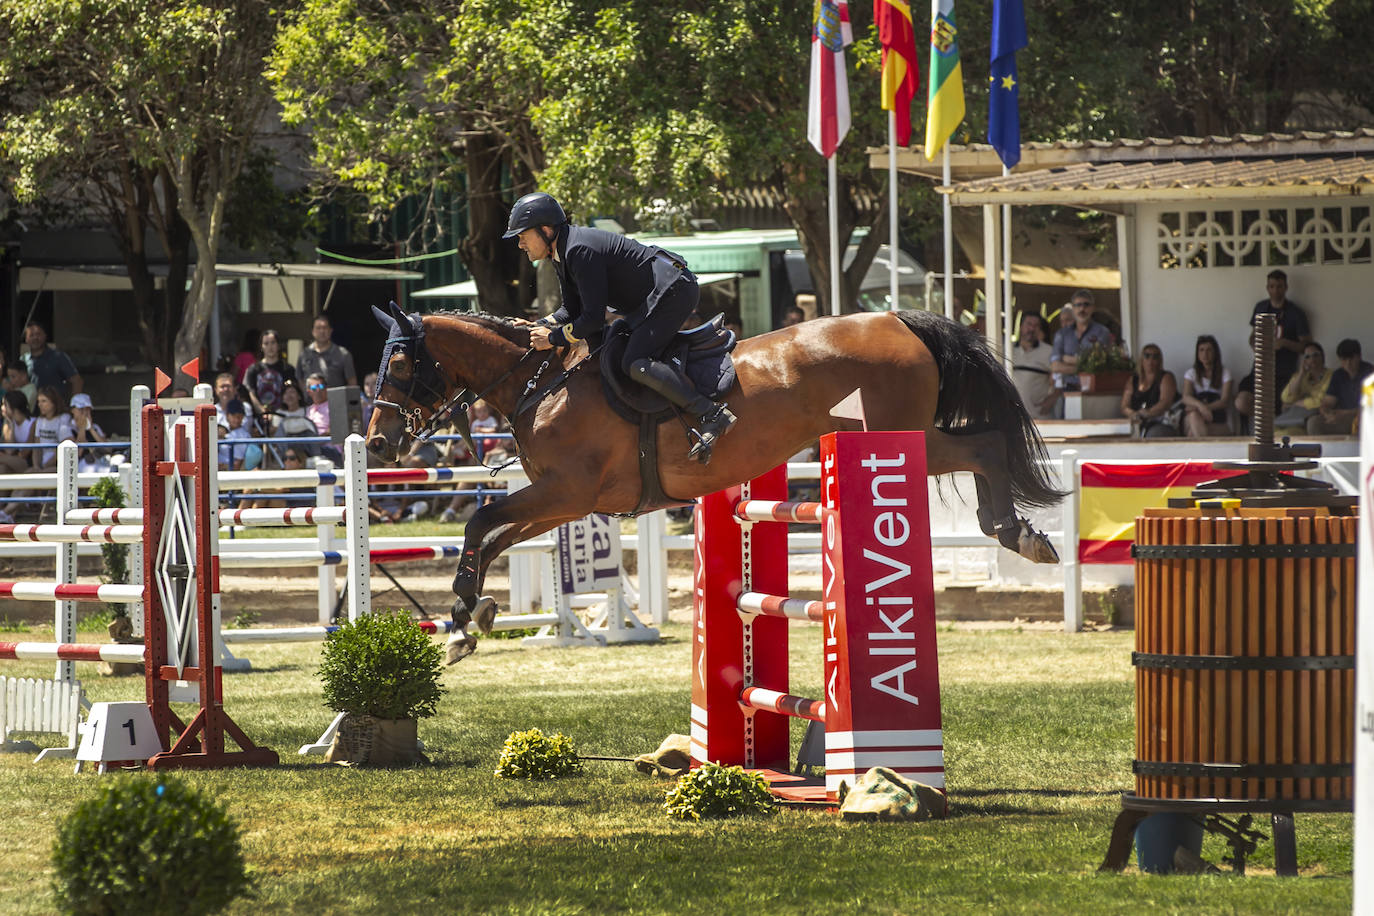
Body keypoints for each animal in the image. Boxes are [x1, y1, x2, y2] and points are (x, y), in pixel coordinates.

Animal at [365, 304, 1060, 661]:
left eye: (397, 365)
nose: (375, 442)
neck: (541, 382)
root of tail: (899, 320)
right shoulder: (561, 501)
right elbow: (491, 536)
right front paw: (468, 618)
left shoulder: (567, 492)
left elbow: (481, 521)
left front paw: (463, 615)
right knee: (985, 445)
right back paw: (1019, 531)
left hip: (899, 432)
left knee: (986, 446)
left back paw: (1018, 534)